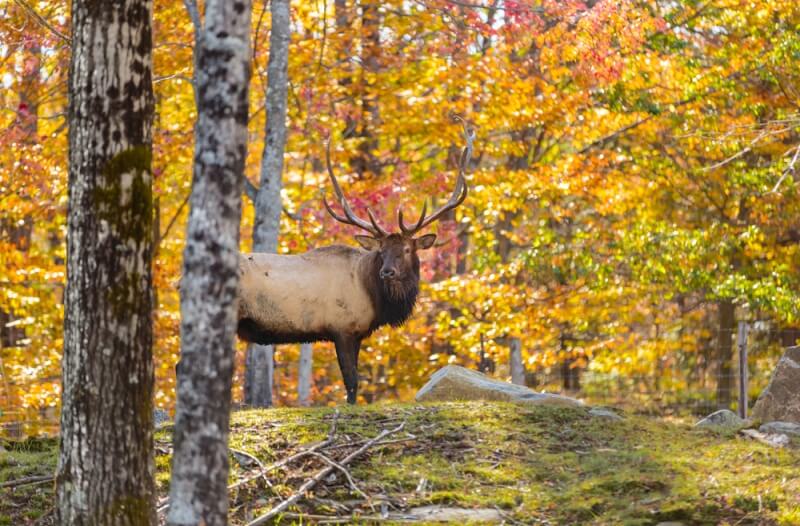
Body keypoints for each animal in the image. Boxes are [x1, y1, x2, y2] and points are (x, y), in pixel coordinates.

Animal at [236, 121, 476, 406]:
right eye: (382, 251)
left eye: (407, 249)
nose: (387, 272)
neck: (375, 298)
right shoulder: (342, 328)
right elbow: (352, 382)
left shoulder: (358, 333)